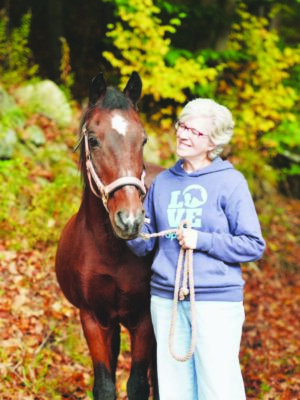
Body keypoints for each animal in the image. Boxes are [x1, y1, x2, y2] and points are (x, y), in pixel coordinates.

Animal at [54, 72, 161, 400]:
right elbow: (104, 385)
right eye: (93, 140)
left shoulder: (144, 319)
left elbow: (138, 384)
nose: (129, 220)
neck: (112, 251)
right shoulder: (93, 318)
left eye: (143, 139)